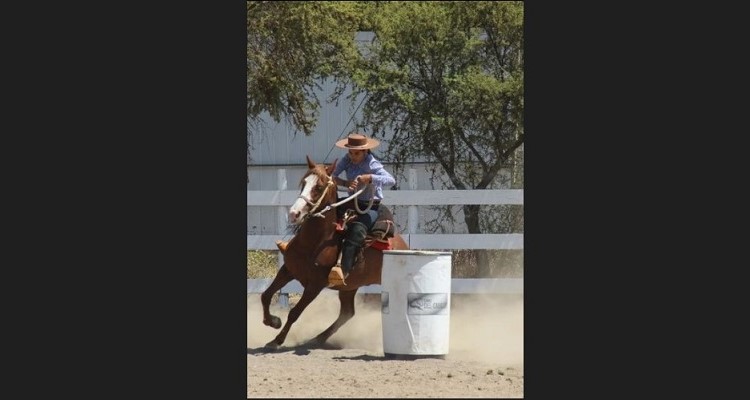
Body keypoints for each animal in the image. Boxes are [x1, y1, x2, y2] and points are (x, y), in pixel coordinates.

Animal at [260, 155, 412, 348]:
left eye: (318, 187)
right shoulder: (287, 270)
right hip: (349, 286)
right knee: (347, 312)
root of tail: (403, 244)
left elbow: (295, 312)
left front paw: (277, 339)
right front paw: (272, 322)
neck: (313, 242)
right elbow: (265, 296)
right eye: (303, 183)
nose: (294, 213)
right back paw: (317, 338)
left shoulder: (315, 285)